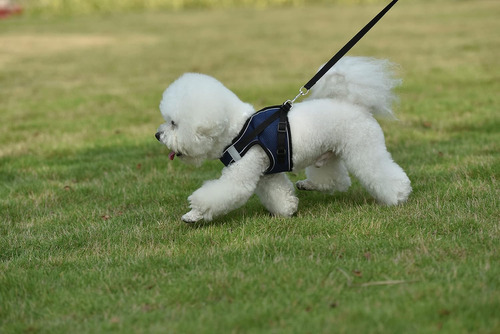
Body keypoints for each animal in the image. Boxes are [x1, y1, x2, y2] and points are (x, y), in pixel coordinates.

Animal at [155, 56, 410, 222]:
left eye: (174, 123)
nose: (157, 135)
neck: (239, 131)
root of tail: (354, 104)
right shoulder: (266, 173)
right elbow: (277, 192)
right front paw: (287, 209)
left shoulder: (242, 173)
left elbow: (219, 193)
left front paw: (193, 214)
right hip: (329, 154)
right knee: (336, 180)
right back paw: (309, 184)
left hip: (364, 148)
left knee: (380, 172)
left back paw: (398, 195)